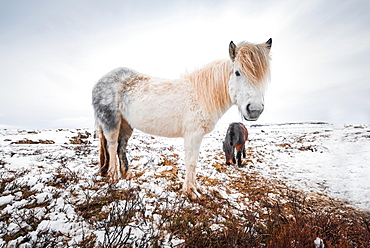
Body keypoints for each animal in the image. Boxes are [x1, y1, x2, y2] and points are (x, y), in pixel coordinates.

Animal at [92, 38, 272, 200]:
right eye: (237, 72)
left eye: (264, 77)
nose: (254, 109)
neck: (201, 95)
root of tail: (100, 82)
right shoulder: (192, 135)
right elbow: (190, 162)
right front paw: (190, 192)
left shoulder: (197, 137)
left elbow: (194, 161)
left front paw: (196, 188)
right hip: (111, 122)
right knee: (112, 146)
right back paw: (114, 177)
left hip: (126, 124)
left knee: (121, 147)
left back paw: (127, 175)